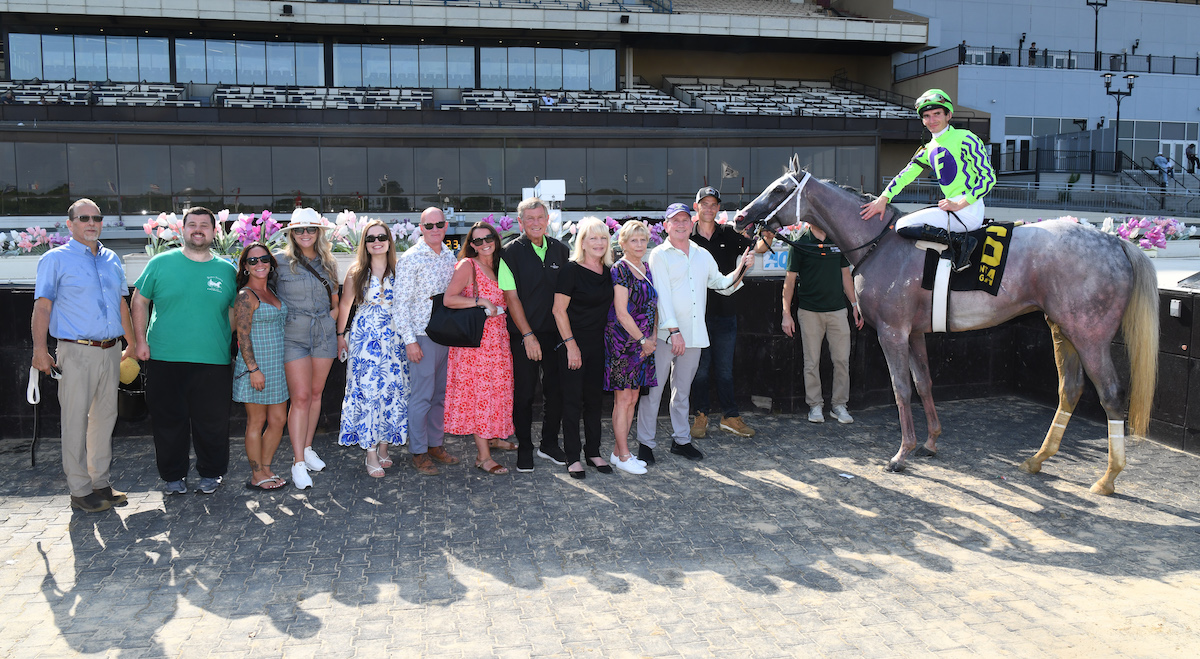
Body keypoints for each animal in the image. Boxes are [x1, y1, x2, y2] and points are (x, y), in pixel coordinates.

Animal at [734, 156, 1156, 494]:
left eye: (779, 189)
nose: (740, 218)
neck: (879, 244)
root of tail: (1117, 242)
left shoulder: (892, 332)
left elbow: (902, 389)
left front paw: (902, 454)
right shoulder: (916, 332)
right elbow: (924, 383)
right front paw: (932, 442)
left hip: (1090, 336)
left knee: (1111, 395)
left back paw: (1108, 478)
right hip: (1061, 330)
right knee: (1069, 389)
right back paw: (1038, 458)